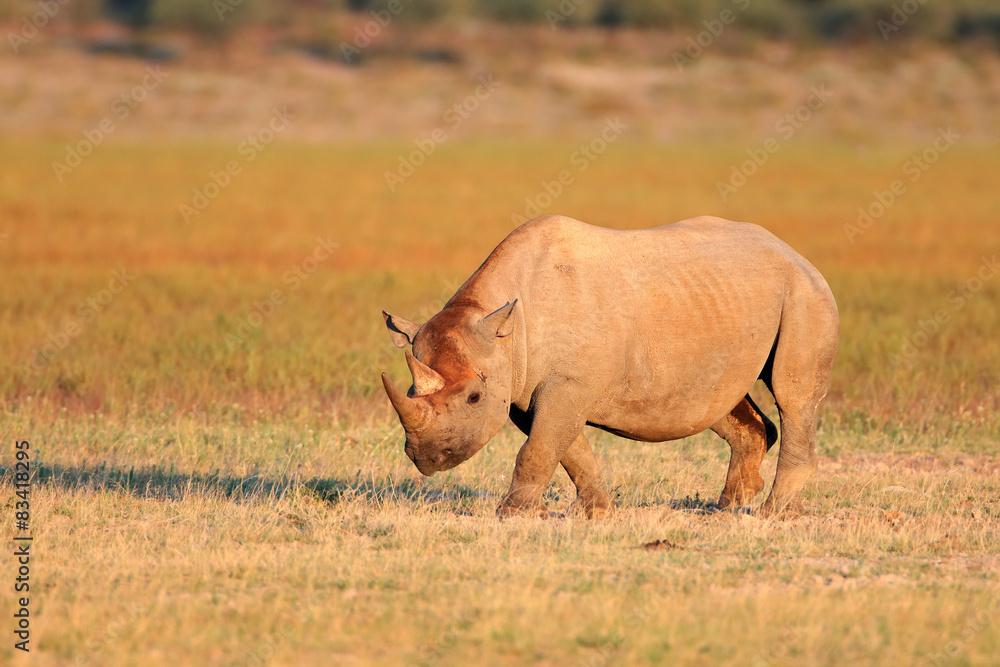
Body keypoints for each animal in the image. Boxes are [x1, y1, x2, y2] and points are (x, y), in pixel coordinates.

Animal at [381, 215, 839, 518]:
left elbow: (539, 449)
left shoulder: (565, 383)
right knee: (717, 398)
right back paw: (727, 506)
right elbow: (567, 450)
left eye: (475, 398)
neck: (501, 328)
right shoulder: (527, 387)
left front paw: (510, 516)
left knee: (793, 397)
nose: (426, 459)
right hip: (726, 301)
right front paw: (598, 513)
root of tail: (794, 252)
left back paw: (773, 514)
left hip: (804, 292)